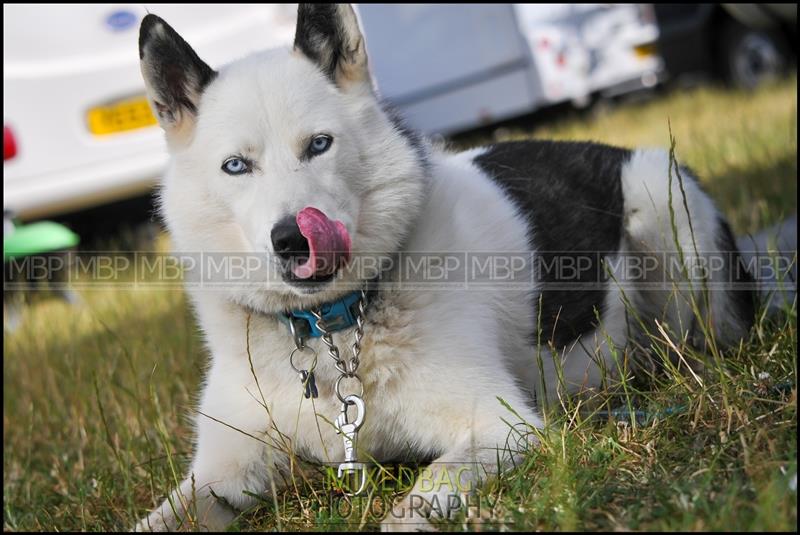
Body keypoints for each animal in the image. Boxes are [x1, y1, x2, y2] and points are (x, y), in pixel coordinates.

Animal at [136, 3, 756, 532]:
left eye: (319, 145)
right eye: (236, 166)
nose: (291, 239)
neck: (330, 326)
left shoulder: (504, 428)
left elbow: (413, 503)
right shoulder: (221, 472)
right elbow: (160, 517)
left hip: (660, 210)